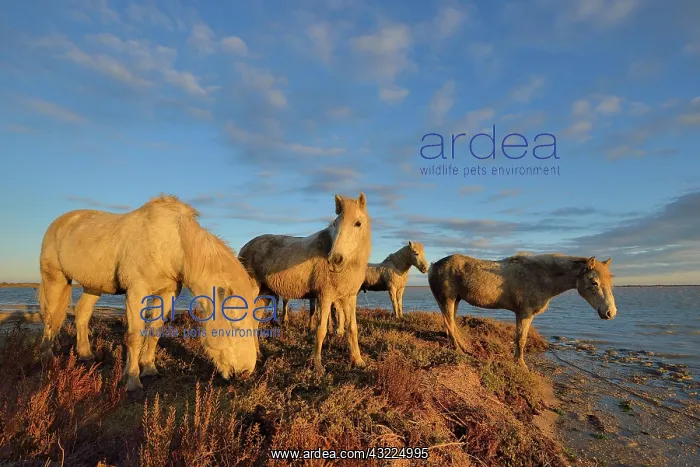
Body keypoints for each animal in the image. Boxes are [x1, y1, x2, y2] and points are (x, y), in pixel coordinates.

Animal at [37, 195, 261, 391]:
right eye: (235, 325)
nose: (245, 372)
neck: (171, 245)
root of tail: (60, 222)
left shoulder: (168, 294)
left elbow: (154, 331)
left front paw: (149, 369)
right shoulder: (136, 292)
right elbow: (135, 336)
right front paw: (133, 380)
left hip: (93, 287)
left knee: (82, 313)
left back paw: (85, 354)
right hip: (55, 279)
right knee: (50, 317)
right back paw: (46, 356)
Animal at [238, 193, 371, 372]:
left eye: (358, 223)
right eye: (335, 224)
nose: (335, 260)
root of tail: (244, 247)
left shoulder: (350, 297)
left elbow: (352, 328)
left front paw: (358, 360)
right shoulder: (325, 296)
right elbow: (321, 330)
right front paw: (318, 365)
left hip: (264, 294)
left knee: (254, 322)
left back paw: (258, 354)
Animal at [427, 252, 617, 370]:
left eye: (610, 281)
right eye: (594, 282)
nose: (611, 312)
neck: (540, 277)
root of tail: (434, 266)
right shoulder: (524, 314)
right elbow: (521, 339)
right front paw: (520, 364)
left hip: (455, 300)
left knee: (451, 322)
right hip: (448, 300)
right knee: (449, 323)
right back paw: (458, 350)